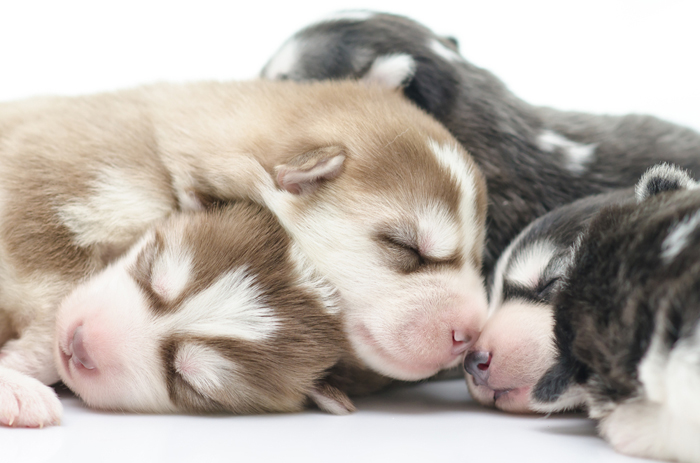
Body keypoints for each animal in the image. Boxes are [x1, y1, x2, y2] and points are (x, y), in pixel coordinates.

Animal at [0, 79, 490, 428]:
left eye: (478, 255)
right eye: (408, 248)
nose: (473, 330)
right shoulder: (47, 191)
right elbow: (56, 294)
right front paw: (17, 377)